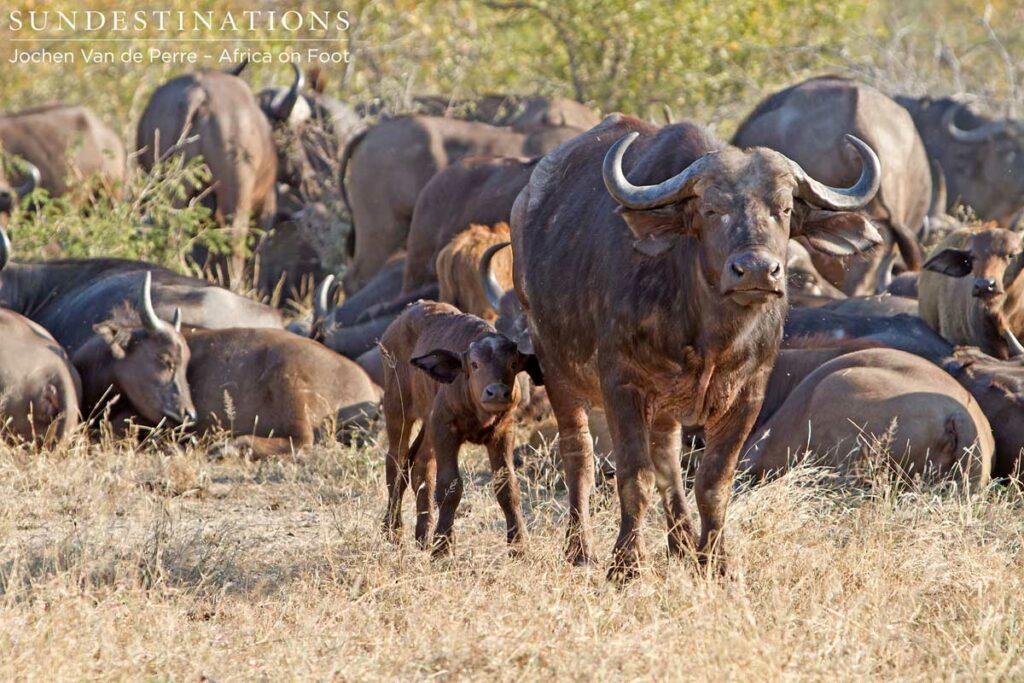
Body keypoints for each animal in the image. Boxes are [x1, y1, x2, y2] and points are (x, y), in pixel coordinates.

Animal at [380, 301, 543, 555]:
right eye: (474, 365)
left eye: (513, 364)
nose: (496, 392)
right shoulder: (445, 428)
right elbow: (450, 486)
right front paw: (442, 547)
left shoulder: (503, 431)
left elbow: (507, 486)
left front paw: (519, 545)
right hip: (397, 408)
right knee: (395, 462)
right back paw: (393, 531)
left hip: (427, 423)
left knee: (421, 467)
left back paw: (423, 536)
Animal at [513, 114, 882, 579]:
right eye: (711, 209)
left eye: (783, 209)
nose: (756, 270)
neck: (710, 335)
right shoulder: (622, 385)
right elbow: (634, 476)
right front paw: (627, 564)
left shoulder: (748, 395)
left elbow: (712, 482)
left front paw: (716, 561)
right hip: (556, 367)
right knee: (578, 454)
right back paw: (580, 551)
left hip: (666, 407)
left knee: (668, 460)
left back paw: (683, 543)